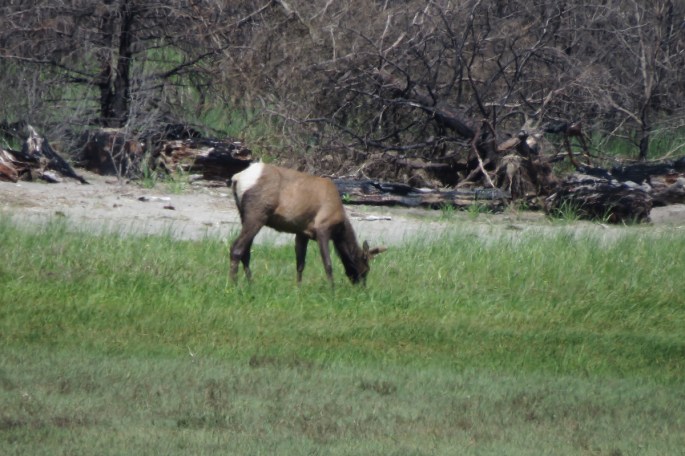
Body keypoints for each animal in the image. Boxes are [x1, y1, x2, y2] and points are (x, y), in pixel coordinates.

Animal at [229, 162, 386, 285]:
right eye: (366, 269)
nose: (362, 288)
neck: (339, 228)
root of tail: (236, 178)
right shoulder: (323, 229)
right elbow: (328, 264)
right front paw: (332, 290)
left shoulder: (302, 233)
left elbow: (300, 264)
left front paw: (298, 288)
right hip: (257, 214)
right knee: (236, 248)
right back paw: (234, 285)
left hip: (245, 216)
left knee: (246, 251)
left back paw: (250, 283)